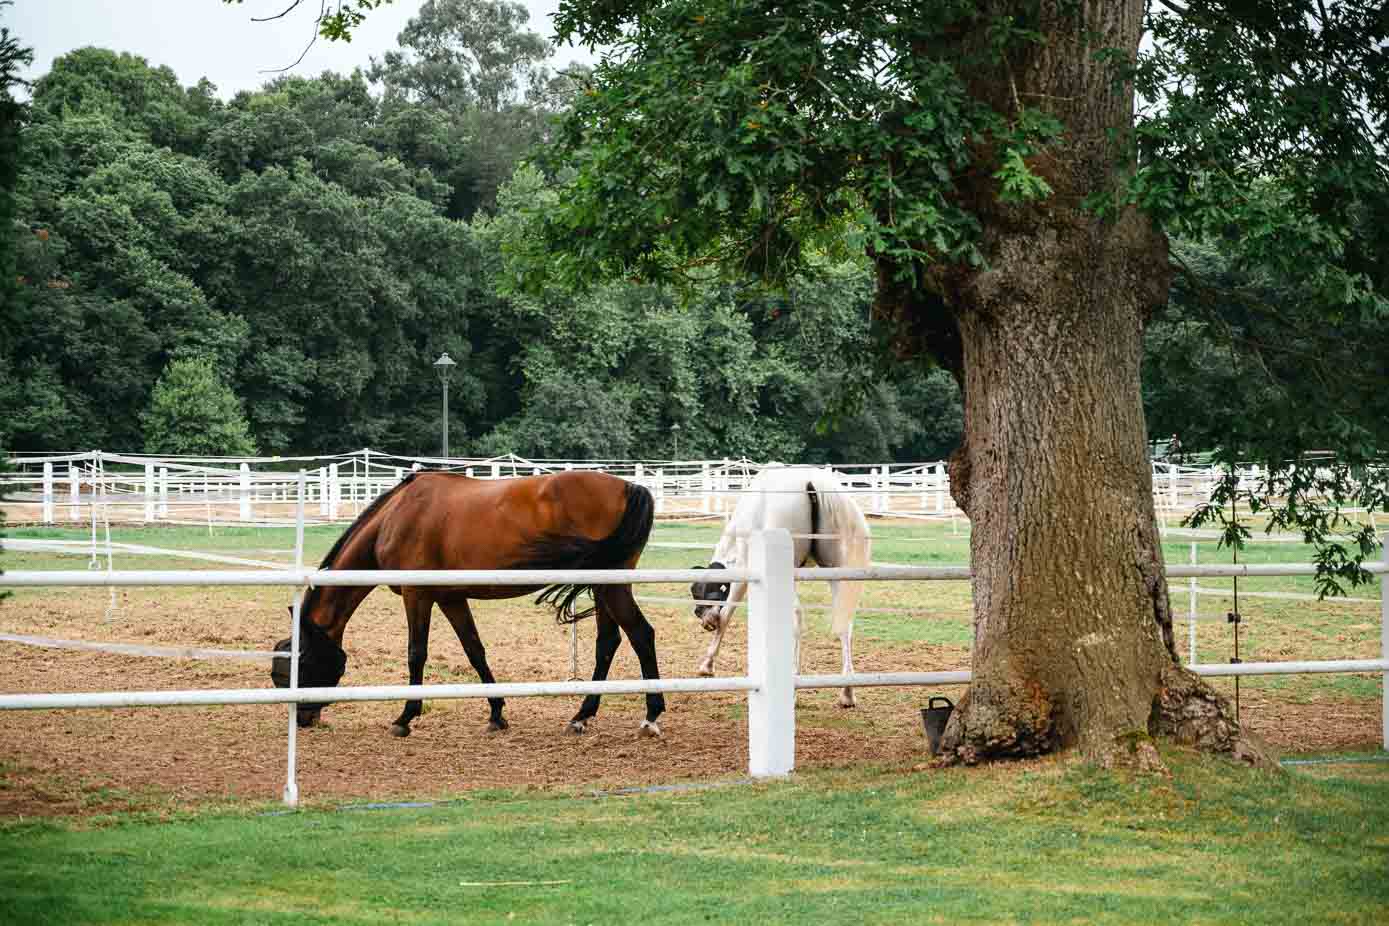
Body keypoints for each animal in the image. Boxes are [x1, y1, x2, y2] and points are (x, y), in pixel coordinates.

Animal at [270, 472, 666, 738]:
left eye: (298, 666)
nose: (303, 719)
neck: (397, 516)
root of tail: (630, 488)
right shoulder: (451, 597)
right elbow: (474, 650)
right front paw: (497, 713)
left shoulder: (418, 596)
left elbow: (416, 653)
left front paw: (404, 718)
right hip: (603, 588)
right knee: (608, 642)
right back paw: (582, 715)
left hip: (610, 587)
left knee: (640, 635)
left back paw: (651, 716)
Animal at [691, 466, 872, 705]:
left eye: (699, 593)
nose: (703, 619)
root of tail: (812, 482)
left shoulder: (744, 568)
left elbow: (727, 613)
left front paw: (707, 664)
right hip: (836, 572)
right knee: (844, 623)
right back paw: (847, 691)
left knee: (797, 616)